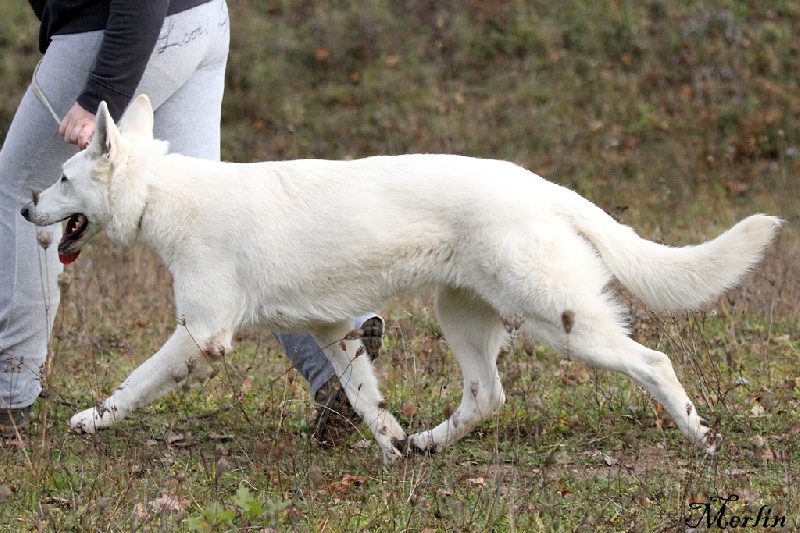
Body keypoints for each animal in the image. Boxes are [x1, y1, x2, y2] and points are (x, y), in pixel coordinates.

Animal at [21, 95, 780, 462]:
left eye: (62, 178)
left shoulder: (201, 336)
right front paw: (392, 450)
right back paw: (429, 443)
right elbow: (368, 403)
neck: (161, 194)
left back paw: (701, 438)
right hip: (463, 319)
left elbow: (132, 383)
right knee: (487, 395)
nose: (26, 206)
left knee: (654, 361)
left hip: (561, 322)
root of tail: (542, 185)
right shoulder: (334, 331)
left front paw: (90, 419)